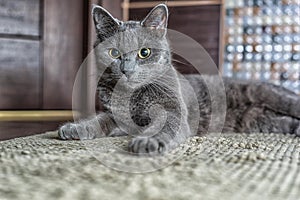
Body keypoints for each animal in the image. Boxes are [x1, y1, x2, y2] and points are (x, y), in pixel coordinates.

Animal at [58, 4, 300, 155]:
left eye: (144, 52)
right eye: (114, 53)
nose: (127, 69)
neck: (134, 95)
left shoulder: (173, 109)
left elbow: (166, 126)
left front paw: (148, 141)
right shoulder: (117, 116)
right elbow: (100, 120)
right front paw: (75, 129)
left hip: (267, 94)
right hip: (259, 120)